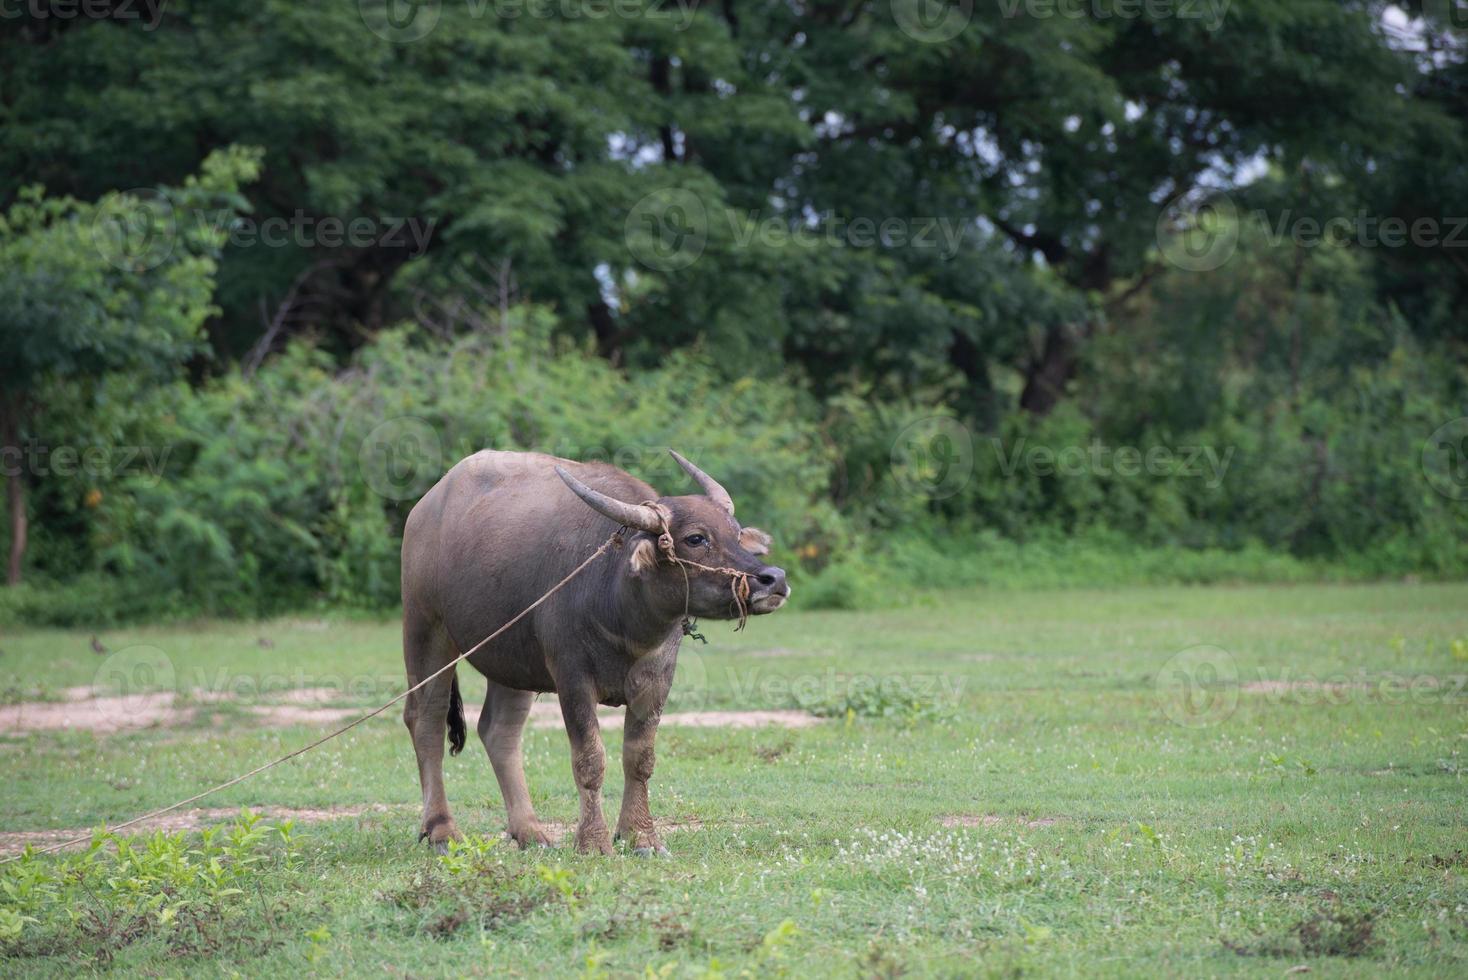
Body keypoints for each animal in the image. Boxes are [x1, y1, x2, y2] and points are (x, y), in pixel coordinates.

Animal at [399, 448, 792, 850]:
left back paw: (530, 831)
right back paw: (441, 829)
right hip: (425, 629)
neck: (623, 615)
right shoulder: (572, 679)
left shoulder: (657, 680)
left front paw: (640, 836)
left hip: (511, 661)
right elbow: (589, 759)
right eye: (696, 538)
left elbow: (640, 758)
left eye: (736, 533)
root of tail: (424, 508)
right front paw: (592, 841)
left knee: (499, 730)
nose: (773, 579)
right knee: (425, 720)